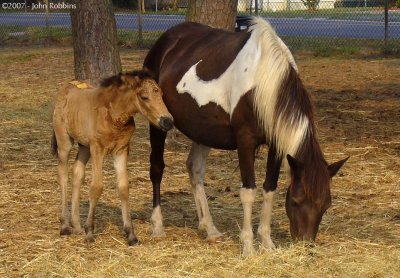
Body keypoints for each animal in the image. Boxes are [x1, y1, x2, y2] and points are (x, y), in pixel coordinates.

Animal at [51, 70, 173, 245]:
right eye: (144, 97)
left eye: (161, 94)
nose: (167, 121)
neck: (115, 113)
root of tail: (67, 85)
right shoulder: (97, 149)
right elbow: (96, 187)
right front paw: (90, 232)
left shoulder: (121, 150)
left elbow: (123, 188)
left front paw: (131, 235)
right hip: (64, 141)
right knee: (62, 173)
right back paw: (65, 226)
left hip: (84, 146)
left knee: (77, 173)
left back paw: (77, 226)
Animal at [143, 17, 346, 256]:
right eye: (296, 201)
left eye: (326, 205)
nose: (305, 244)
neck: (264, 81)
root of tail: (166, 40)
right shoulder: (245, 141)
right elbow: (249, 191)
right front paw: (248, 246)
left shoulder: (276, 146)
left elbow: (269, 188)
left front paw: (267, 242)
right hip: (158, 123)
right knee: (157, 168)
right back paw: (158, 226)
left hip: (203, 131)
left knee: (195, 169)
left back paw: (210, 229)